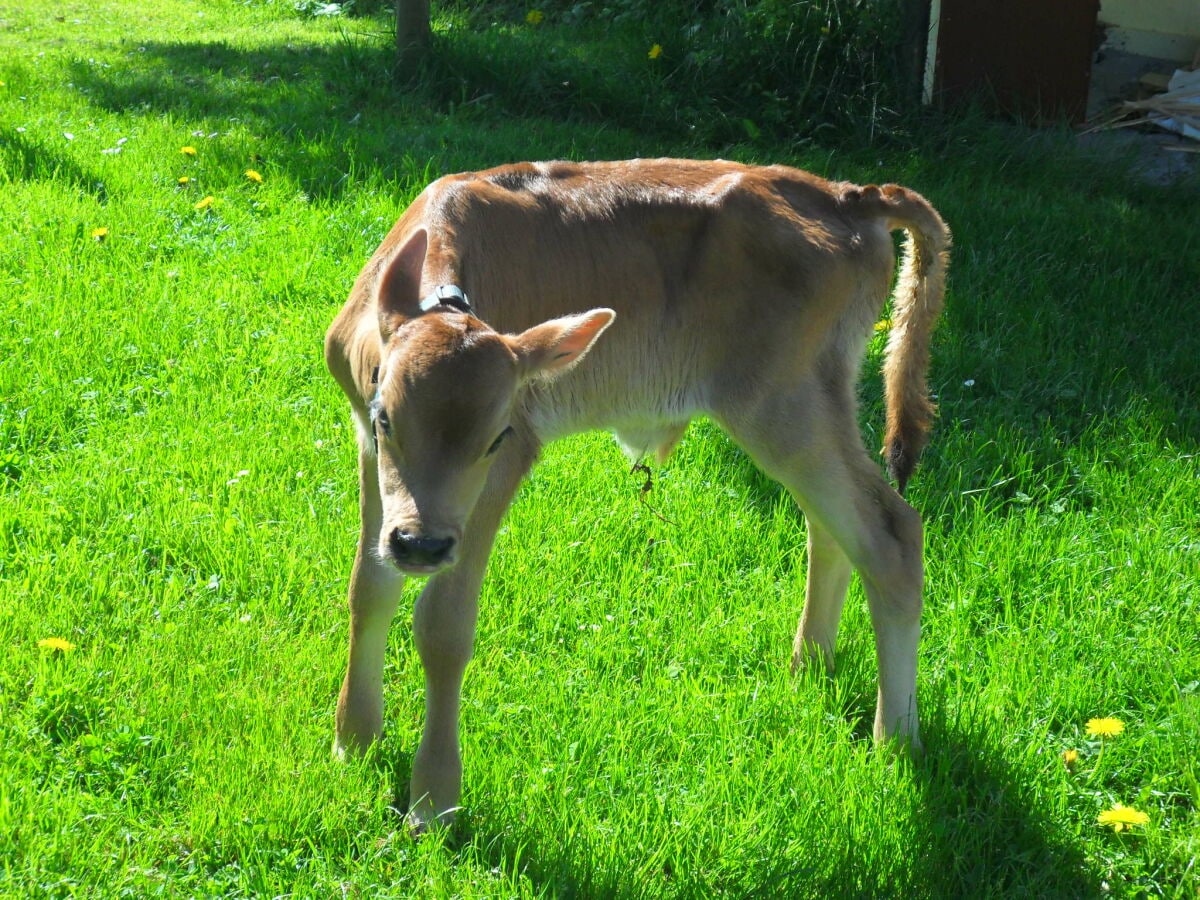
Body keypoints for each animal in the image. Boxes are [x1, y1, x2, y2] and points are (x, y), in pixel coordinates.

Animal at [324, 157, 950, 830]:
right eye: (386, 418)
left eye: (495, 437)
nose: (421, 545)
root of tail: (851, 196)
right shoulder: (368, 451)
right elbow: (368, 587)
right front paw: (354, 740)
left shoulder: (503, 469)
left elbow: (443, 627)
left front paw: (433, 801)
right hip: (812, 406)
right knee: (831, 528)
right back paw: (809, 666)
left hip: (782, 406)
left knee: (890, 533)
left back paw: (896, 739)